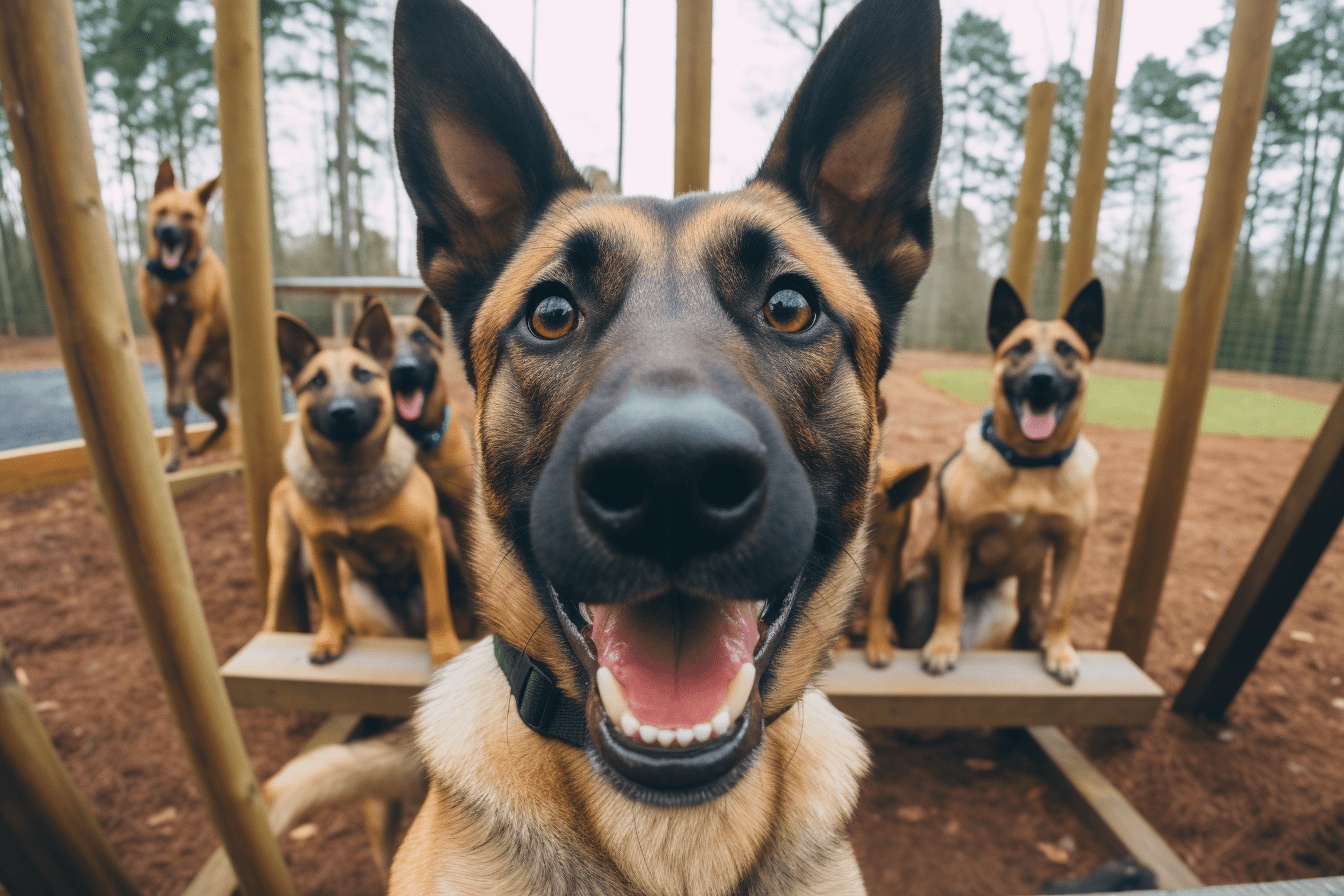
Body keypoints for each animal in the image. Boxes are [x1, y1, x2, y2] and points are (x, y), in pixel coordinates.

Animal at [137, 157, 231, 472]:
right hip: (203, 392)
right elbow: (172, 381)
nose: (168, 231)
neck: (174, 278)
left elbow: (188, 357)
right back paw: (193, 449)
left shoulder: (200, 320)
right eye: (162, 212)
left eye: (188, 216)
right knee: (223, 422)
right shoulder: (159, 330)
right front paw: (173, 455)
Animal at [262, 308, 462, 666]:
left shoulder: (426, 540)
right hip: (287, 562)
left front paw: (445, 651)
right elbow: (330, 603)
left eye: (363, 375)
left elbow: (439, 609)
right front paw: (329, 638)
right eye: (317, 381)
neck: (350, 478)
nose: (343, 411)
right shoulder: (321, 549)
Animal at [924, 276, 1102, 682]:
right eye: (1019, 348)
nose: (1041, 380)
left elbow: (1061, 607)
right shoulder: (958, 540)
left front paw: (1060, 651)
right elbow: (950, 602)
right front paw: (942, 646)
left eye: (1066, 350)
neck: (1030, 466)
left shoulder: (1071, 547)